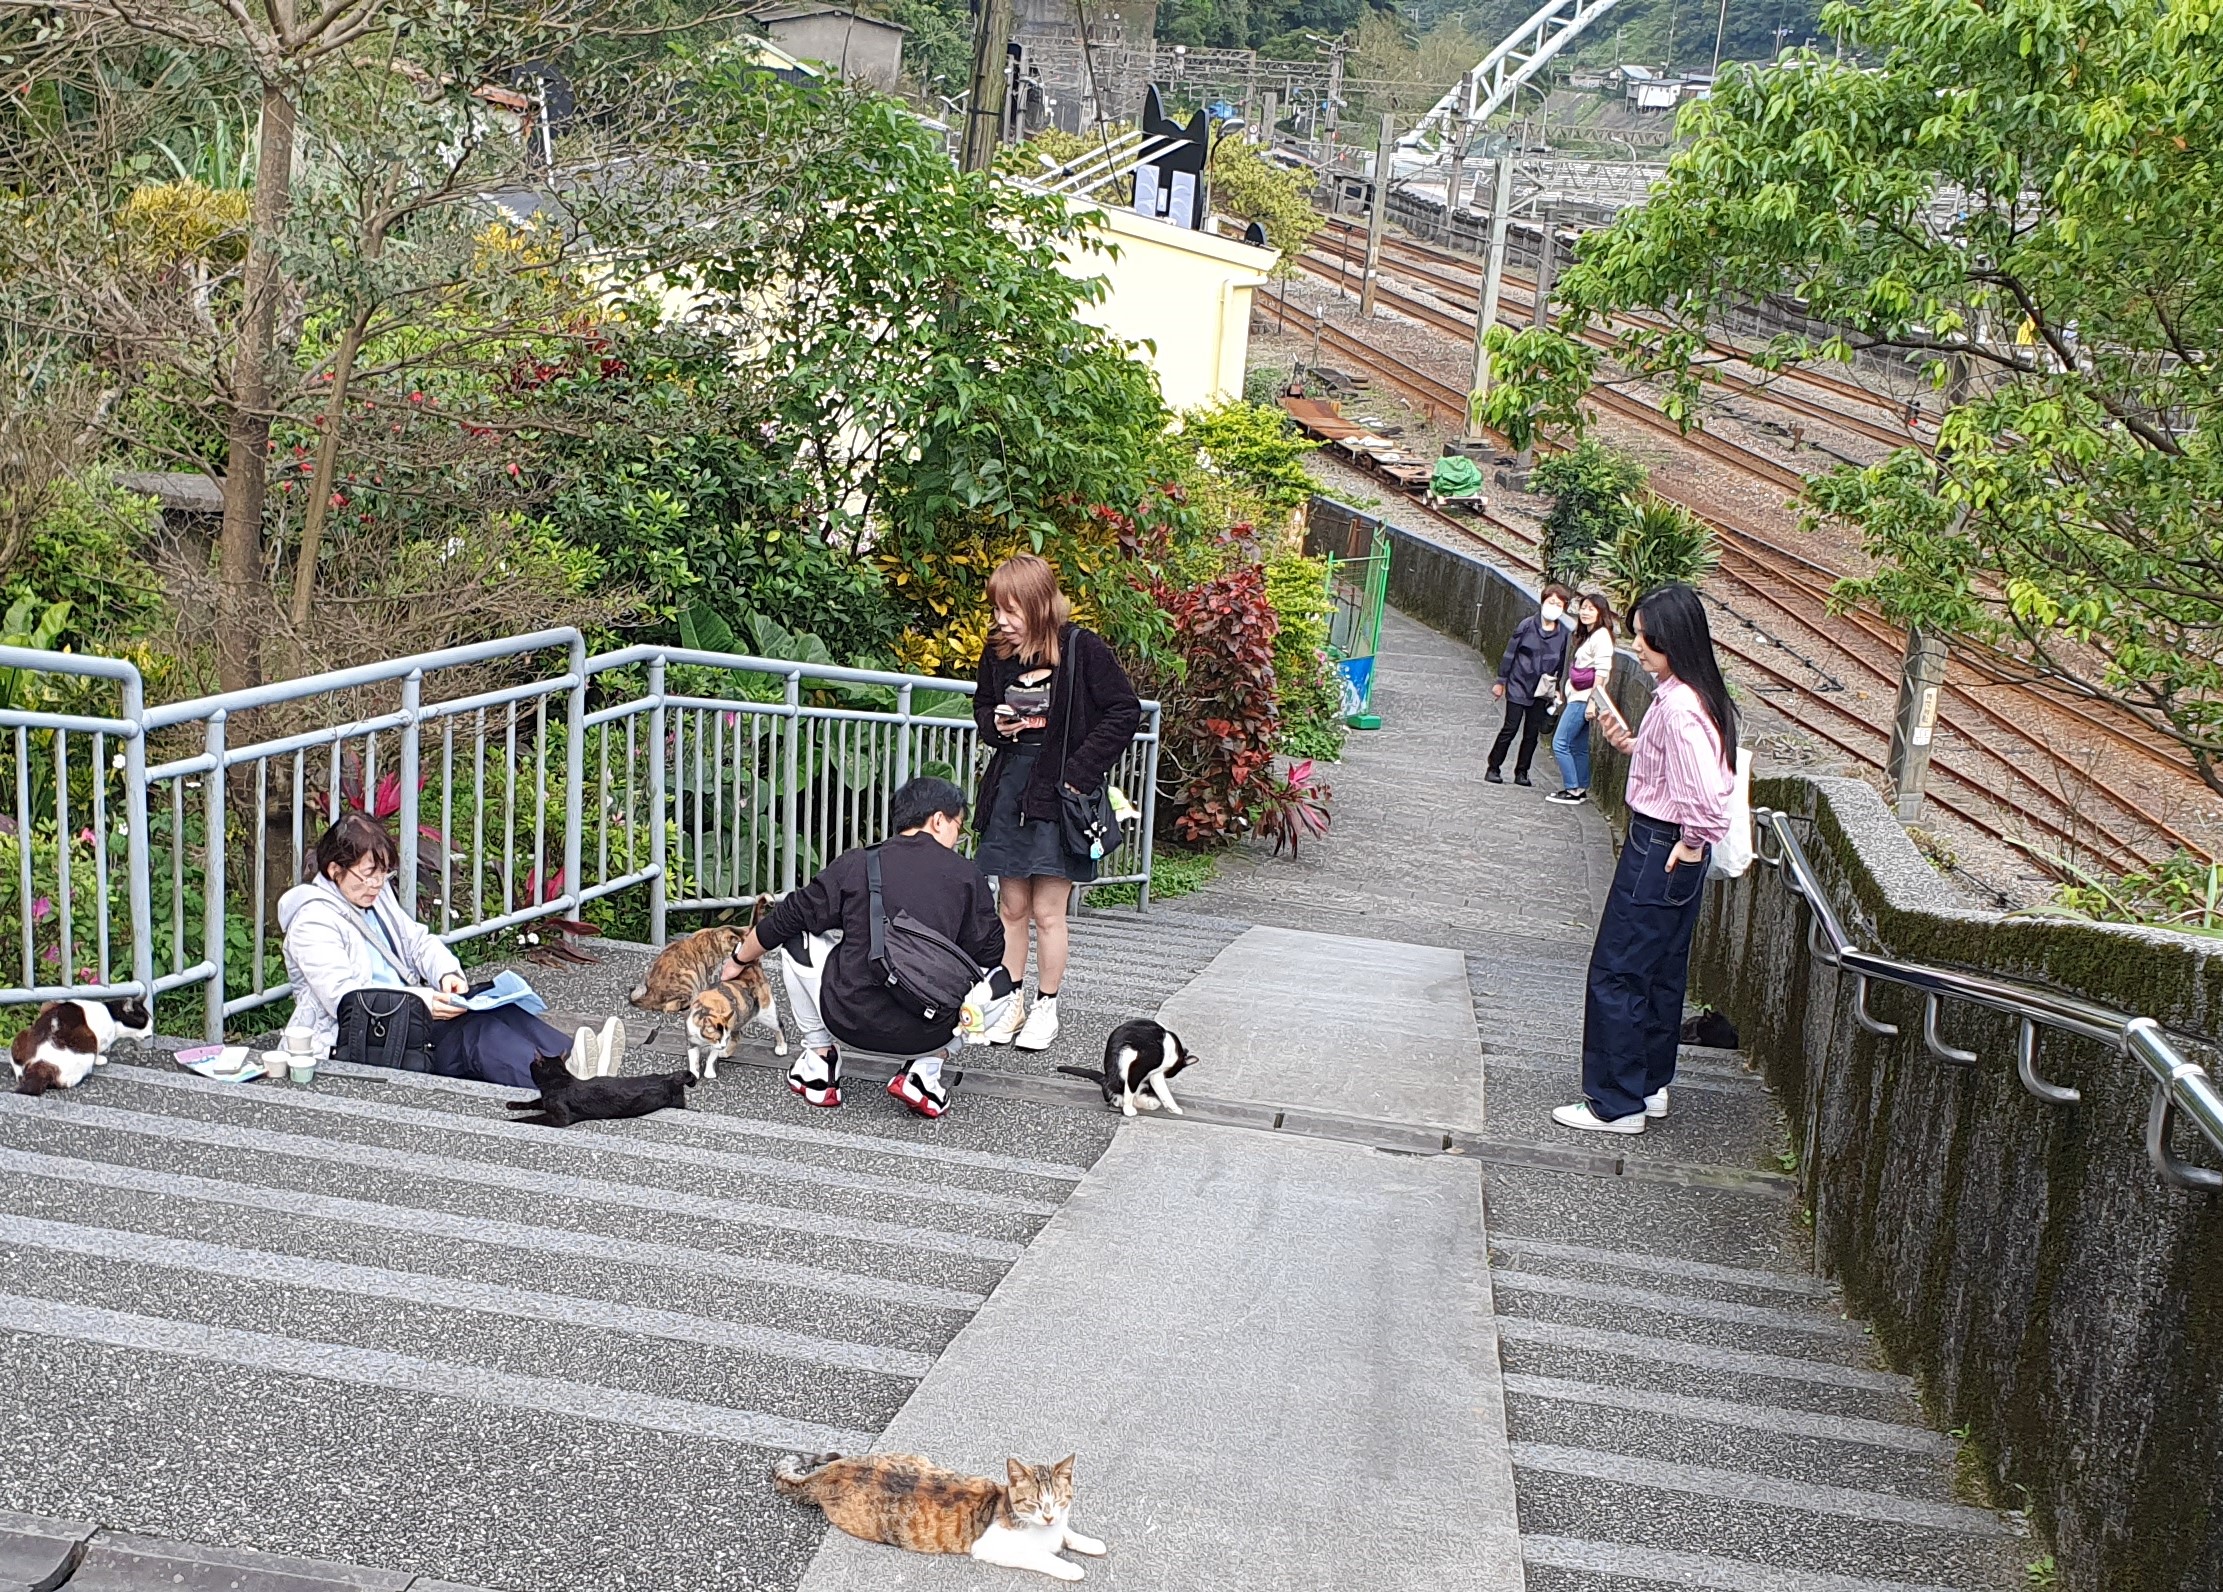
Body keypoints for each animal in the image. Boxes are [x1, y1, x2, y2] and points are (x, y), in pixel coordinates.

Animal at [10, 996, 154, 1093]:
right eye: (145, 1023)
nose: (151, 1032)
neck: (112, 1015)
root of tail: (39, 1063)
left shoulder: (48, 1005)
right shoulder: (99, 1039)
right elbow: (98, 1051)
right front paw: (101, 1059)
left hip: (23, 1033)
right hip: (85, 1057)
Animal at [506, 1049, 693, 1125]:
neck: (559, 1082)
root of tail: (670, 1076)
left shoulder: (561, 1117)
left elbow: (534, 1118)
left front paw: (512, 1121)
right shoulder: (544, 1101)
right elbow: (533, 1102)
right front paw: (513, 1104)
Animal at [773, 1458, 1102, 1583]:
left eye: (1058, 1501)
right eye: (1033, 1503)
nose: (1048, 1516)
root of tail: (828, 1472)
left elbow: (1068, 1533)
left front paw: (1091, 1543)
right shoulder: (991, 1547)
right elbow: (1039, 1556)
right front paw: (1070, 1567)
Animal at [1058, 1018, 1200, 1120]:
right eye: (1172, 1073)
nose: (1167, 1075)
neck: (1172, 1049)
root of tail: (1105, 1078)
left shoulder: (1154, 1074)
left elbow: (1160, 1089)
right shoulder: (1143, 1064)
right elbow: (1136, 1090)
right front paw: (1128, 1109)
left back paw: (1148, 1102)